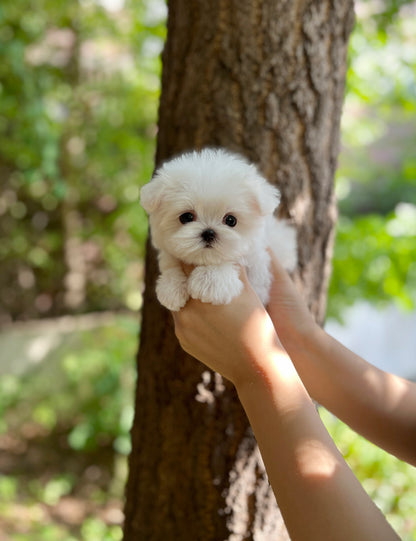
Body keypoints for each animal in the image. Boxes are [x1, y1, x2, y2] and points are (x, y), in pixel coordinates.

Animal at [140, 148, 296, 310]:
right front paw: (171, 287)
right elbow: (170, 264)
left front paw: (210, 281)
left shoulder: (257, 270)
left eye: (231, 220)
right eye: (186, 217)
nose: (209, 233)